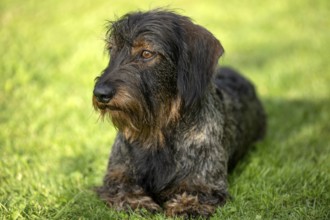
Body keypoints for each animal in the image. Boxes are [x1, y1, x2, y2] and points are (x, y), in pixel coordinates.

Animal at [92, 9, 266, 217]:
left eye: (147, 53)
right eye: (112, 49)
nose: (100, 94)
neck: (158, 131)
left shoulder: (205, 182)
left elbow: (194, 194)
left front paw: (186, 206)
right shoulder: (117, 174)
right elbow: (121, 187)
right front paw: (137, 202)